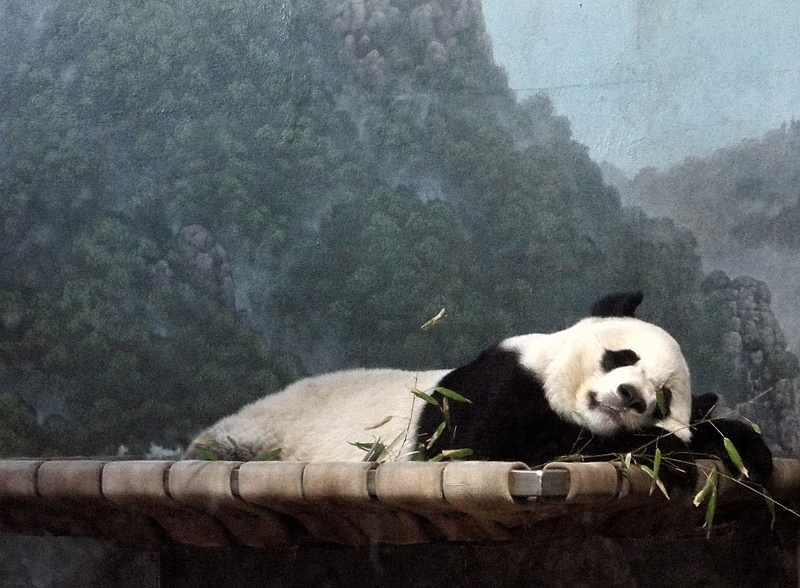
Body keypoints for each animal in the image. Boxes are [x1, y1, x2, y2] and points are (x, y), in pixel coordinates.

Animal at [186, 291, 773, 486]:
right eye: (623, 356)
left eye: (664, 398)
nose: (631, 396)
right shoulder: (493, 389)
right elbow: (498, 446)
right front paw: (662, 455)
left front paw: (744, 448)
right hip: (263, 432)